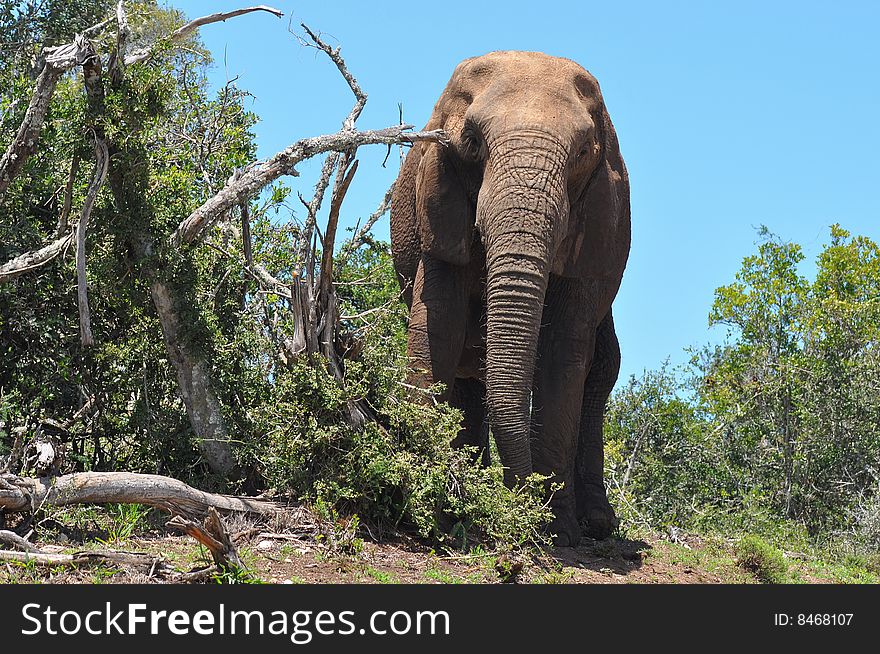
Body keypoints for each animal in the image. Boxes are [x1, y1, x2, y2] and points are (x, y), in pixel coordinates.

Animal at [388, 51, 628, 544]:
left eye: (582, 153)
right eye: (472, 141)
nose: (518, 493)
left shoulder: (597, 221)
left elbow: (562, 353)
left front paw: (557, 534)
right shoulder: (440, 201)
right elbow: (439, 327)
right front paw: (427, 510)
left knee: (602, 366)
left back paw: (596, 523)